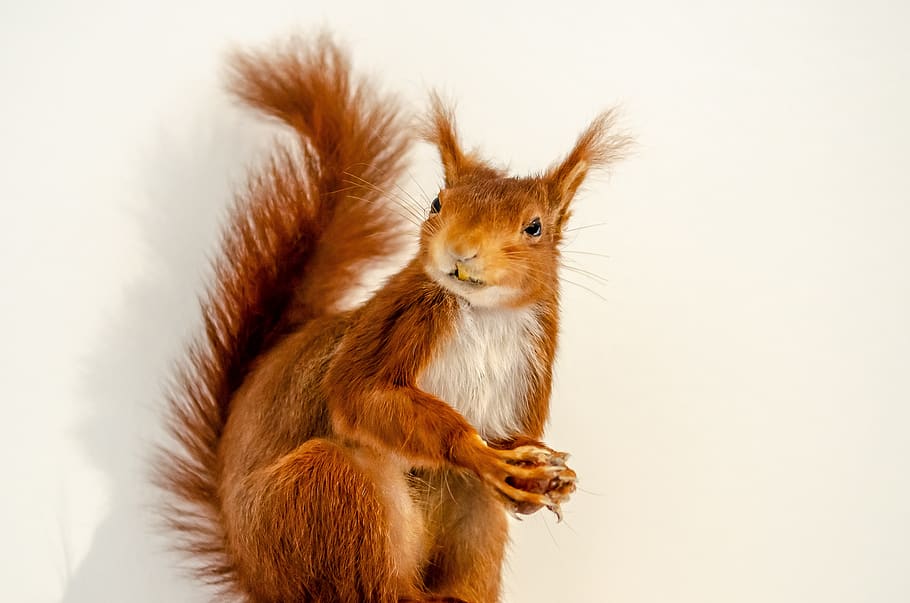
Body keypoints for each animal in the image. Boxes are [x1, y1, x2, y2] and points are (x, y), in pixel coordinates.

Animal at [158, 35, 628, 603]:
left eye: (534, 227)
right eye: (436, 204)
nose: (460, 251)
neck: (485, 315)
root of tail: (255, 576)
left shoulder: (533, 358)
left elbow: (516, 439)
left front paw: (544, 480)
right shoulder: (397, 321)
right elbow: (362, 394)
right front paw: (478, 452)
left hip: (455, 512)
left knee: (471, 501)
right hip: (323, 496)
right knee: (371, 578)